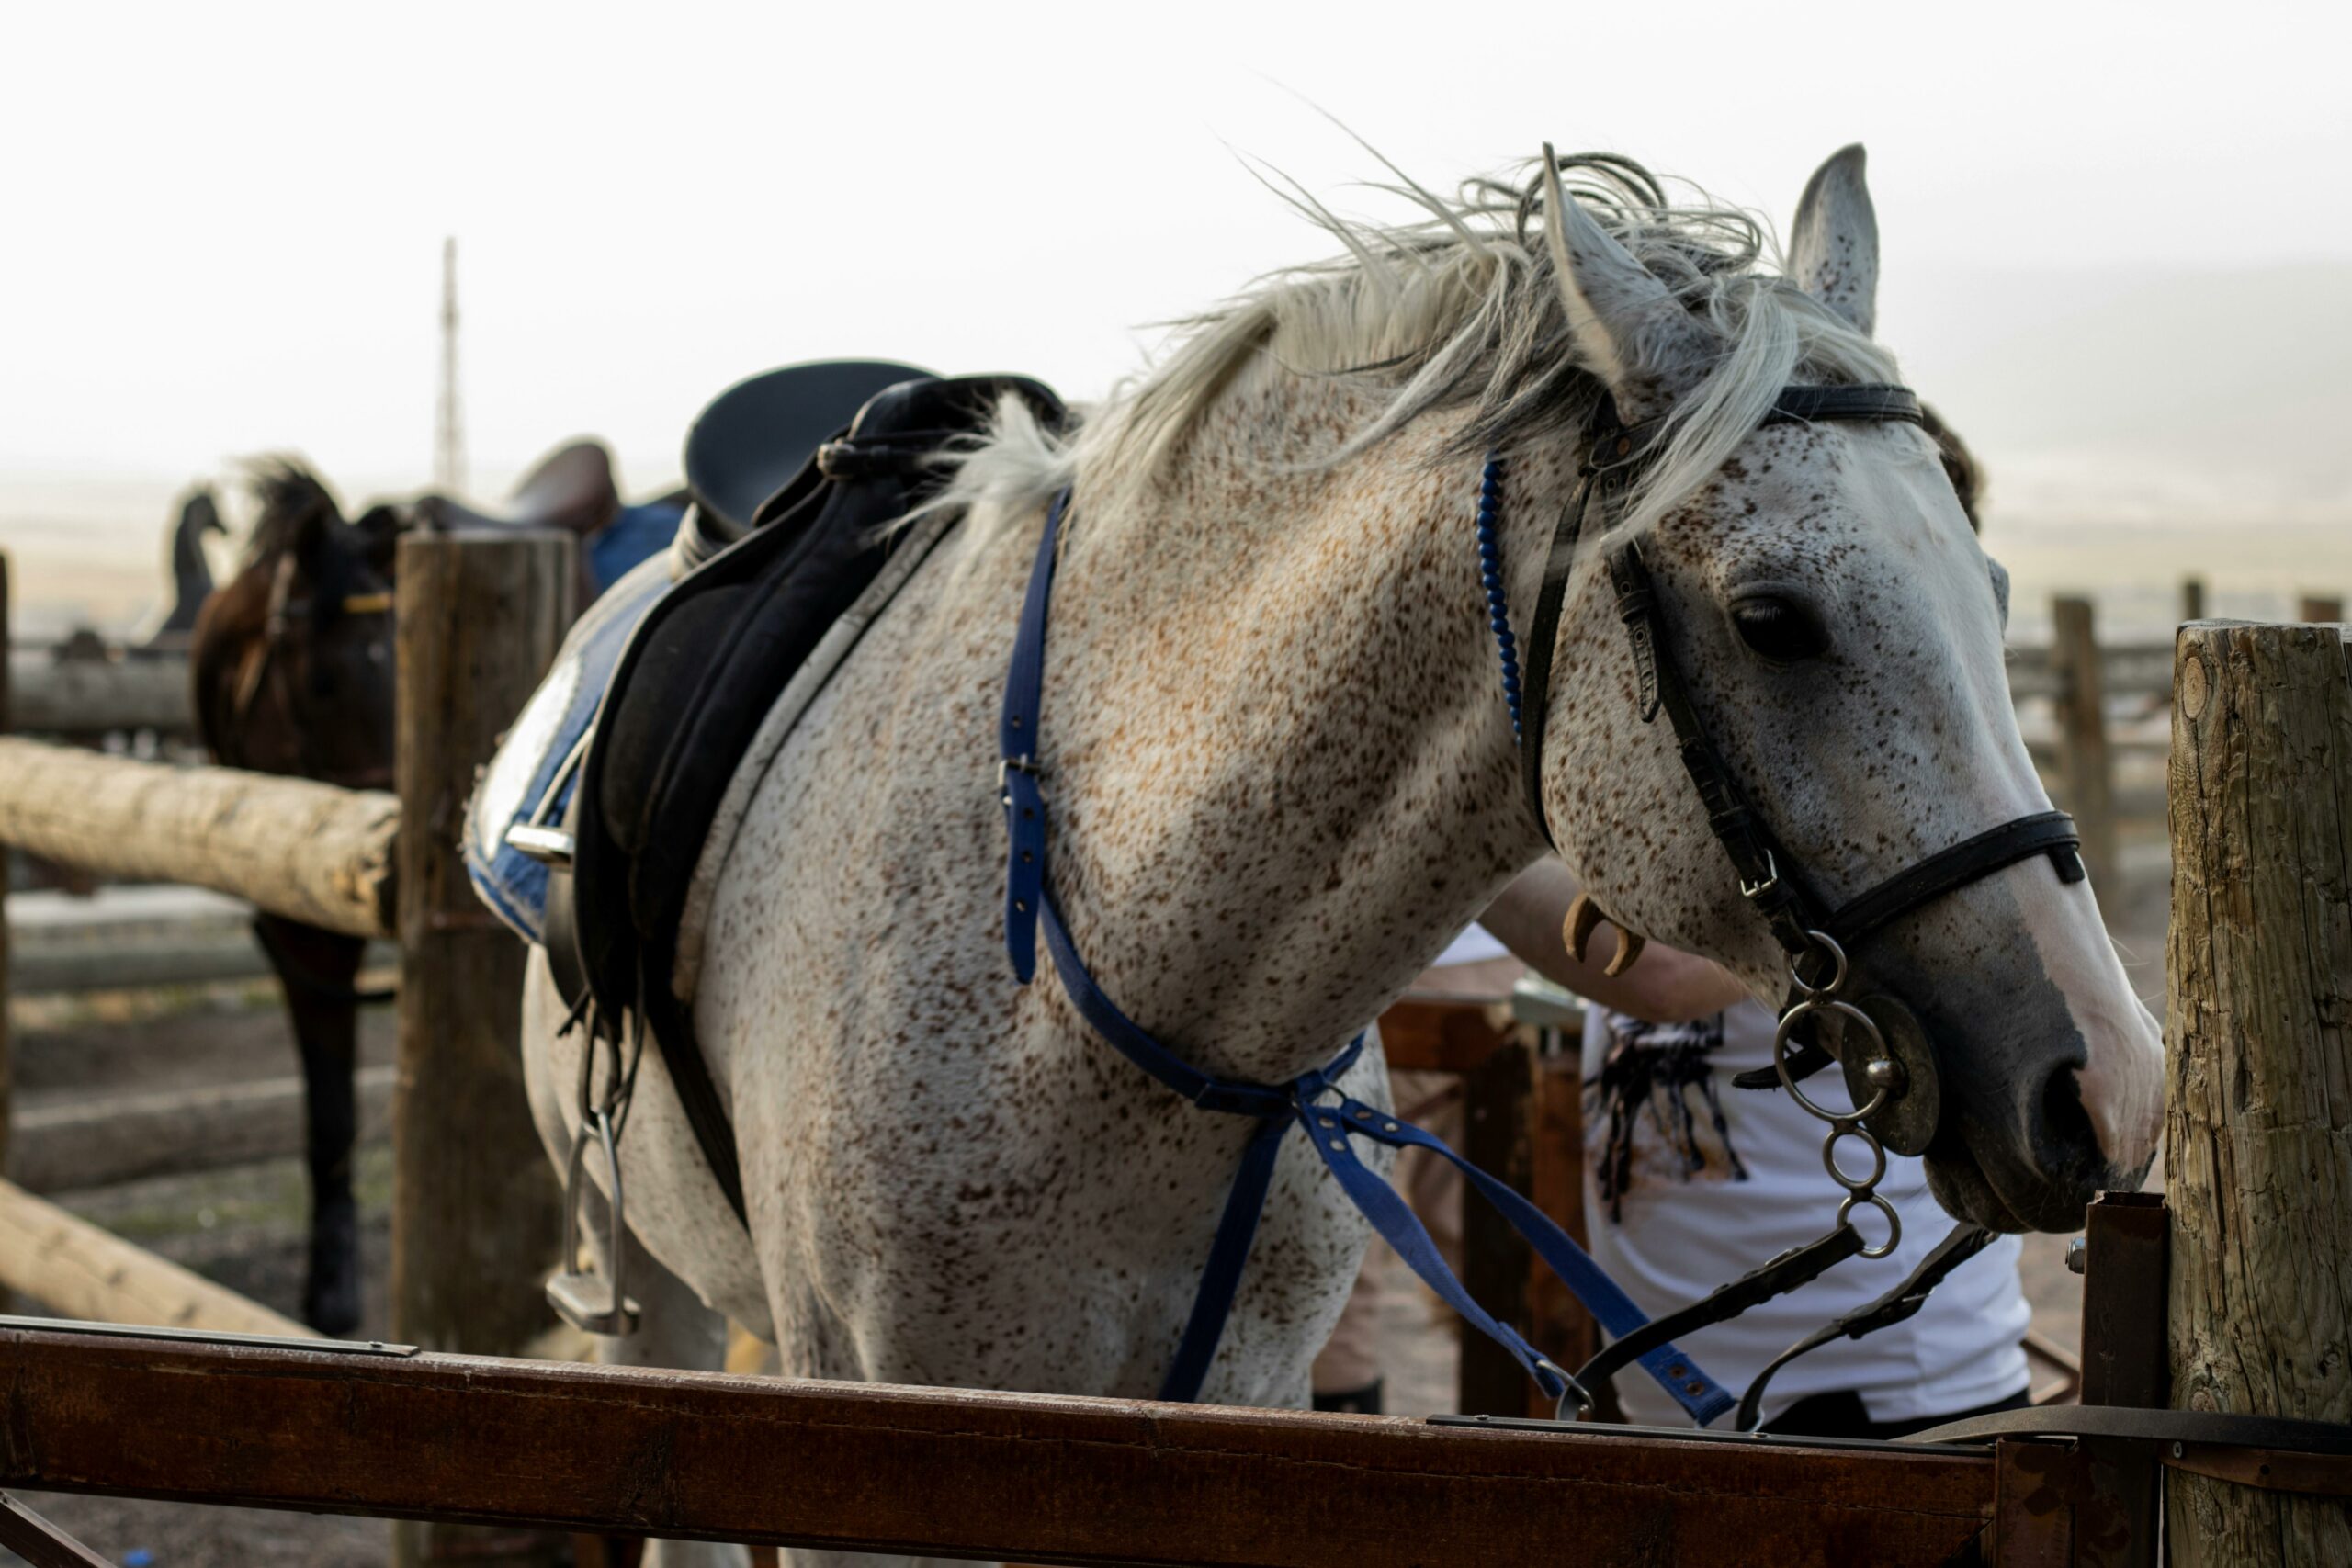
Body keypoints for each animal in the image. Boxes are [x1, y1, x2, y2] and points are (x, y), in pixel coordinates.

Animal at [524, 143, 2154, 1561]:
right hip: (649, 1293)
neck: (1107, 999)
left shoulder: (1238, 1415)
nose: (2111, 1081)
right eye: (1772, 619)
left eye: (1995, 586)